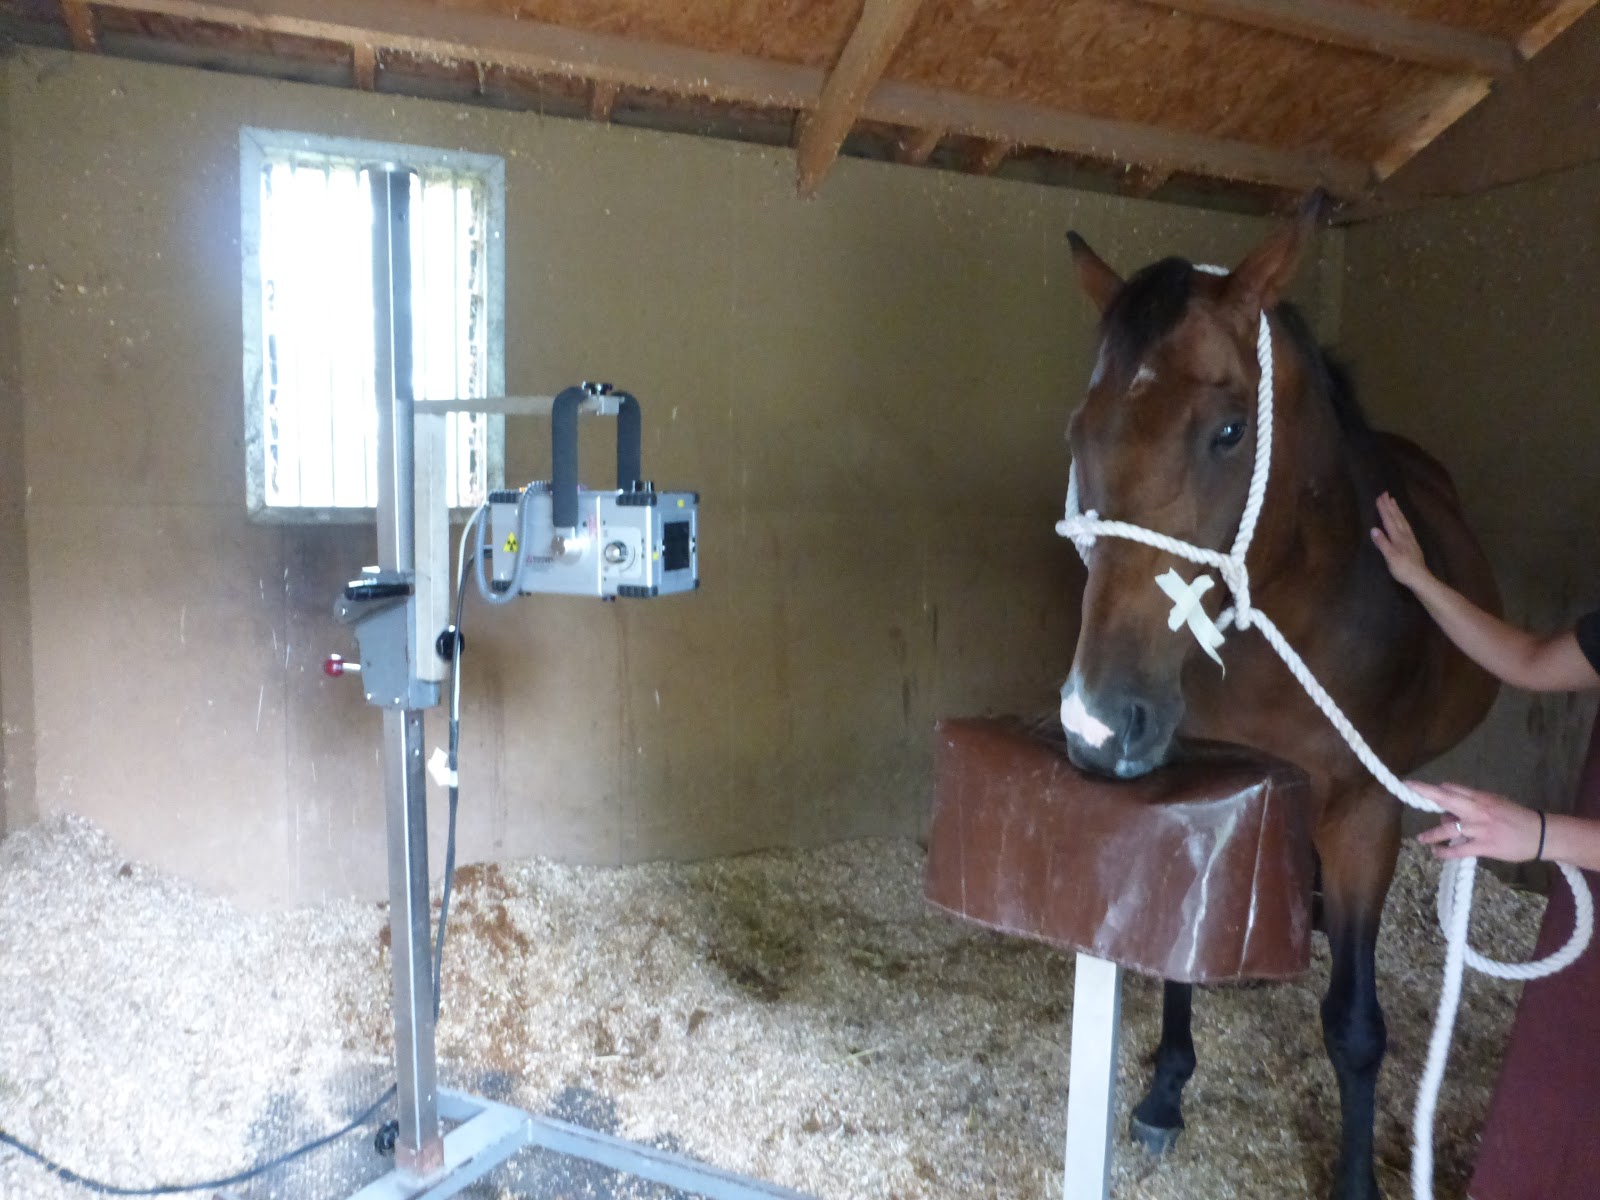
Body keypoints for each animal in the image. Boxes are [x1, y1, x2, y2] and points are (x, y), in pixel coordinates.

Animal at [1056, 194, 1500, 1200]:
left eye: (1229, 433)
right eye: (1080, 431)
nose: (1100, 721)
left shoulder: (1368, 814)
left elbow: (1356, 1027)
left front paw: (1355, 1182)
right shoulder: (1209, 779)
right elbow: (1179, 950)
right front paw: (1165, 1091)